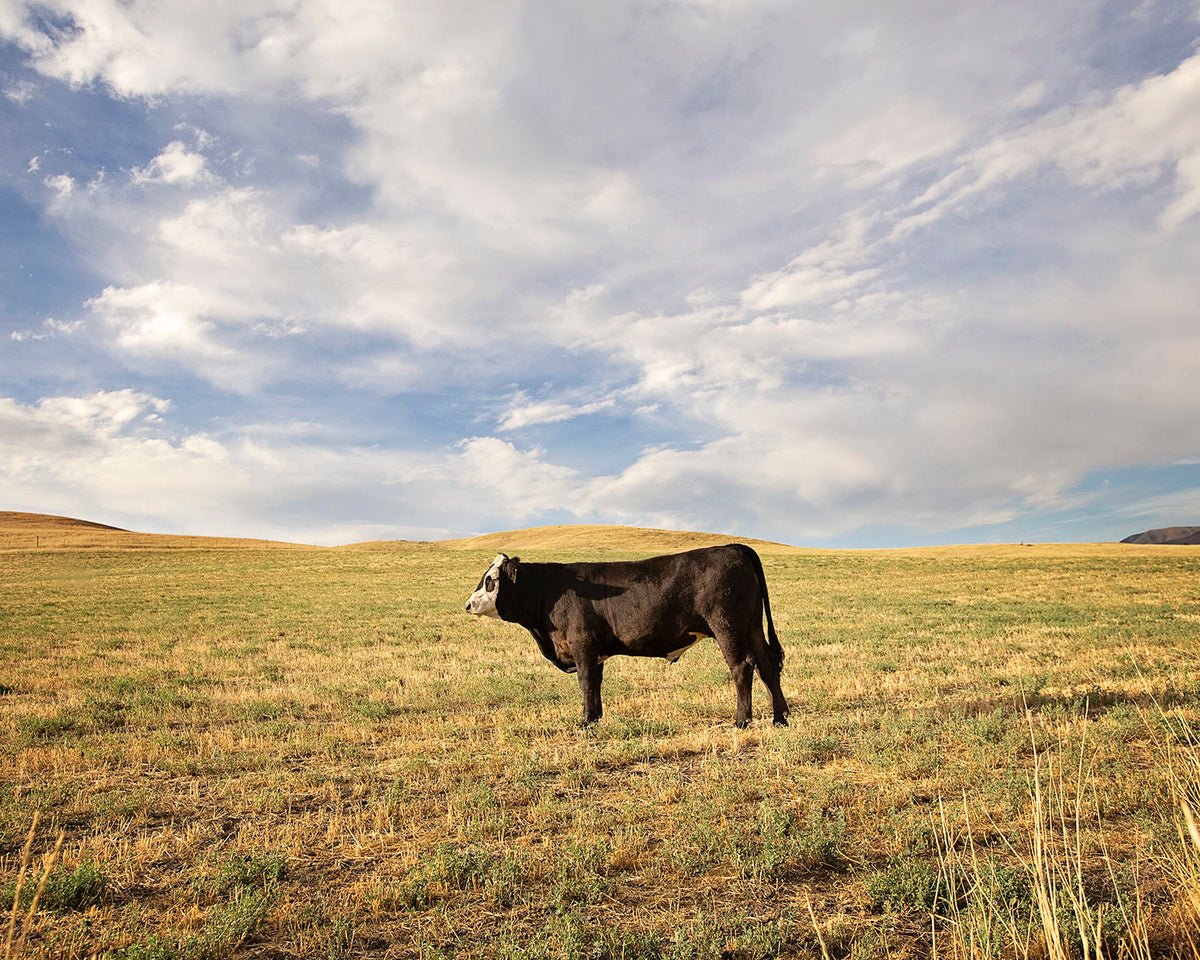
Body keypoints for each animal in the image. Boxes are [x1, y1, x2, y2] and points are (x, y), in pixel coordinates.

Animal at [460, 540, 787, 729]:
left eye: (490, 581)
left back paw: (741, 720)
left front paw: (585, 722)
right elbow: (596, 683)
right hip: (752, 626)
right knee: (767, 665)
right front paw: (596, 717)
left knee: (742, 666)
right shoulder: (596, 650)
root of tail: (735, 547)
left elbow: (585, 682)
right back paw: (780, 717)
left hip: (727, 625)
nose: (468, 605)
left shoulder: (582, 644)